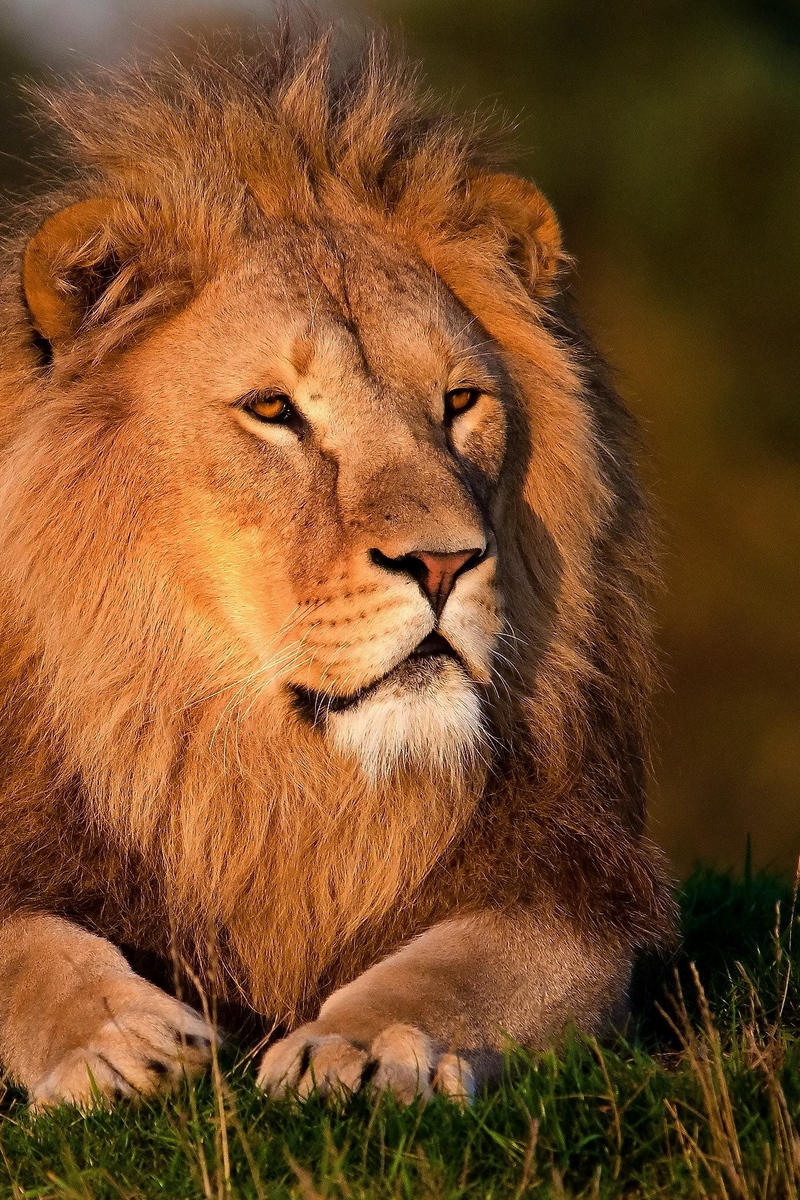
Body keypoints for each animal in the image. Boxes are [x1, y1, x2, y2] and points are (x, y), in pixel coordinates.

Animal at [0, 31, 674, 1108]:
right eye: (274, 411)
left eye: (459, 401)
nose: (443, 561)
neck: (275, 780)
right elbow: (27, 946)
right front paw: (117, 1042)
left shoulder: (569, 882)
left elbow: (464, 966)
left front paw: (360, 1046)